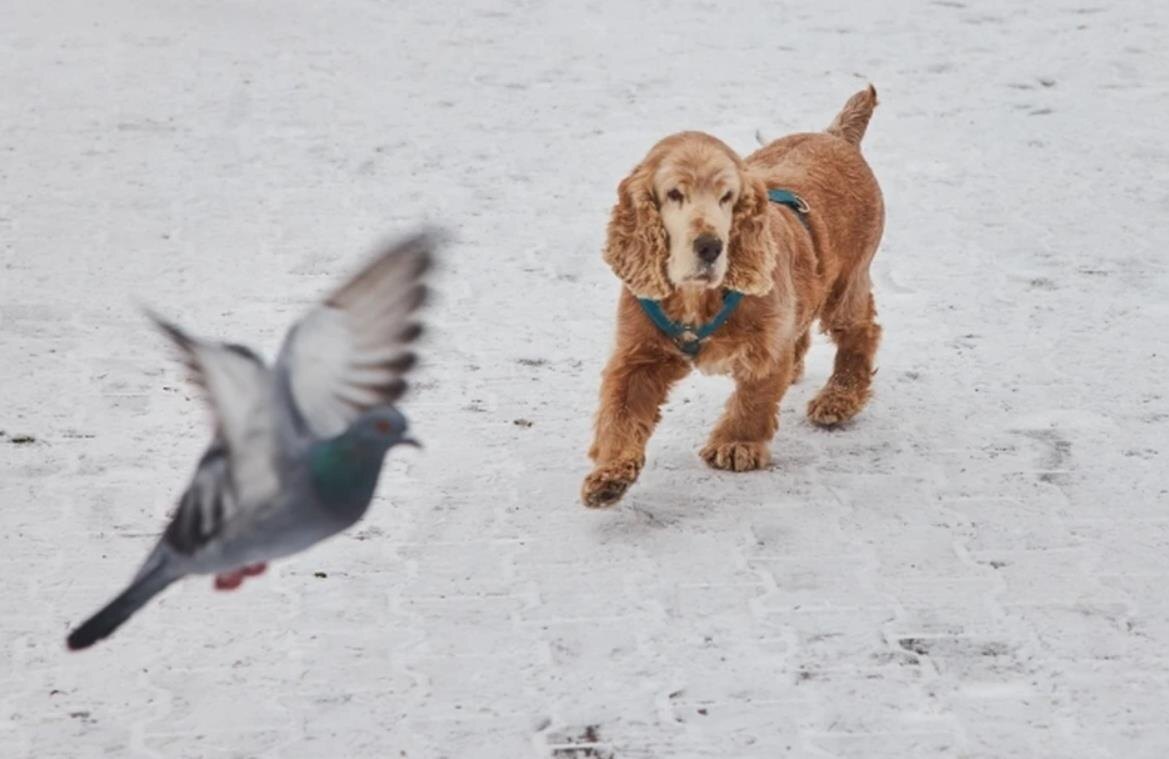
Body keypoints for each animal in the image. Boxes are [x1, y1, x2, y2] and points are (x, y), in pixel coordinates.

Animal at [584, 85, 883, 505]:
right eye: (674, 194)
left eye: (727, 196)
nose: (710, 246)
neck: (697, 295)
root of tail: (838, 136)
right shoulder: (637, 355)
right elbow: (620, 413)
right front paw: (609, 476)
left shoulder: (766, 345)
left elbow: (756, 397)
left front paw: (736, 444)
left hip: (846, 285)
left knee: (862, 331)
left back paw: (838, 399)